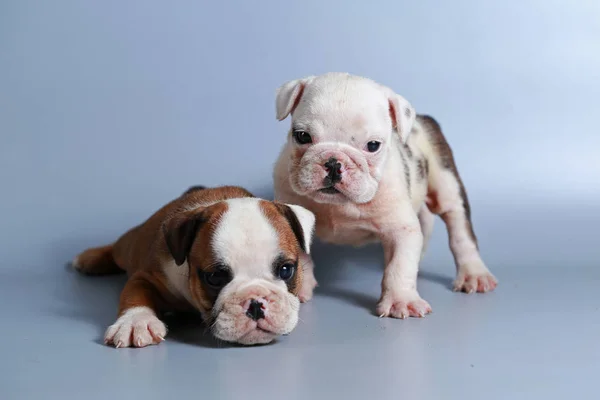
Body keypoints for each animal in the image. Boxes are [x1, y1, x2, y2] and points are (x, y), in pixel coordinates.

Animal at [72, 186, 316, 346]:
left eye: (286, 270)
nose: (255, 303)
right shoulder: (147, 275)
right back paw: (90, 258)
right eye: (215, 277)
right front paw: (135, 321)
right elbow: (135, 293)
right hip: (129, 246)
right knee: (116, 249)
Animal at [272, 72, 496, 318]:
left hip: (446, 184)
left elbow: (399, 267)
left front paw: (401, 301)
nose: (333, 163)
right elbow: (301, 257)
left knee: (459, 230)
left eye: (372, 145)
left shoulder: (401, 230)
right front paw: (299, 287)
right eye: (302, 136)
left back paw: (473, 274)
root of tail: (423, 119)